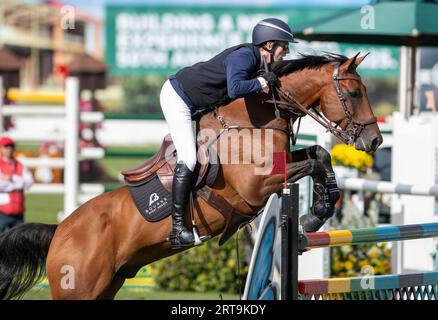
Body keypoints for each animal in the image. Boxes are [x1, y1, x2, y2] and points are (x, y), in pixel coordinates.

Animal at [0, 53, 382, 300]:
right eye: (353, 93)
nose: (375, 140)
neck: (254, 118)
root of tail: (59, 232)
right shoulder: (258, 185)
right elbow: (314, 160)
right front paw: (314, 214)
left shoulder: (280, 167)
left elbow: (319, 155)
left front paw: (319, 210)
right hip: (78, 289)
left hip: (107, 286)